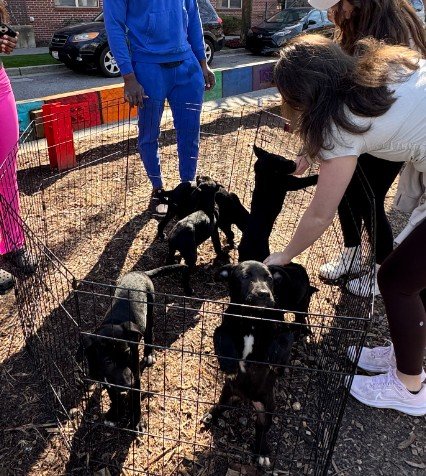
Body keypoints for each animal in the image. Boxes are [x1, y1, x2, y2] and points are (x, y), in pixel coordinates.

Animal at [77, 264, 190, 432]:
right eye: (108, 361)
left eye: (127, 354)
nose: (128, 384)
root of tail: (139, 272)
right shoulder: (105, 378)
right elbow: (113, 395)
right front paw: (114, 413)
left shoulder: (135, 376)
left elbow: (135, 401)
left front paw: (136, 422)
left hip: (150, 308)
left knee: (149, 331)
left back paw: (149, 354)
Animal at [205, 260, 312, 468]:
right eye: (245, 276)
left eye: (269, 278)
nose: (264, 293)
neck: (252, 320)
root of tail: (248, 399)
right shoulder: (225, 326)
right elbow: (220, 335)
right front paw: (229, 364)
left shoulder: (282, 329)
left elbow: (285, 338)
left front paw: (275, 359)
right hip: (227, 391)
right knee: (222, 405)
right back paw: (211, 414)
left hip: (268, 407)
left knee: (261, 428)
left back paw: (262, 452)